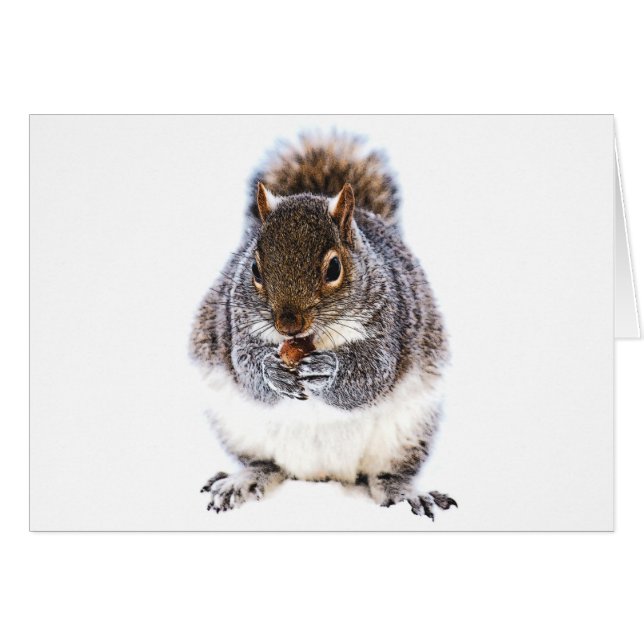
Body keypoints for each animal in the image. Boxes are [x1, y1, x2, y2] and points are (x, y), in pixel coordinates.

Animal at [191, 134, 456, 520]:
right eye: (254, 269)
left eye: (334, 268)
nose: (287, 324)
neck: (311, 339)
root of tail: (322, 474)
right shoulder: (236, 323)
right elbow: (246, 367)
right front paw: (271, 370)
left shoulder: (390, 324)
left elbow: (371, 375)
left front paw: (328, 371)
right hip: (237, 427)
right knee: (266, 463)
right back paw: (242, 480)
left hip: (408, 431)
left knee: (387, 474)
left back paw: (405, 493)